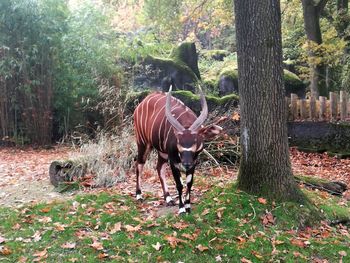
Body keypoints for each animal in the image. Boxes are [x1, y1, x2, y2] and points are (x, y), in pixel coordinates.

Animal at [134, 86, 221, 214]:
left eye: (195, 139)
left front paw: (188, 206)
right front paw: (182, 209)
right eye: (178, 140)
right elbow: (179, 184)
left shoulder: (193, 162)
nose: (186, 163)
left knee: (159, 168)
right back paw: (139, 195)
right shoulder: (173, 161)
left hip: (162, 152)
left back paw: (168, 198)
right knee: (139, 164)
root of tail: (141, 103)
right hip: (143, 143)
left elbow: (189, 183)